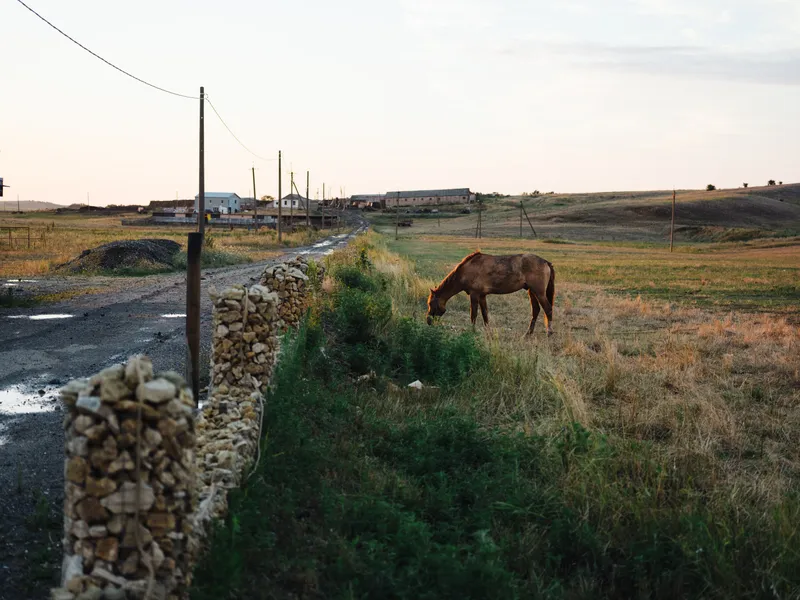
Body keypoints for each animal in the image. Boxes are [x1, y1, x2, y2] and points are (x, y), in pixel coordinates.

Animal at [426, 250, 555, 336]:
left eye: (430, 303)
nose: (428, 321)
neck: (465, 271)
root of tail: (546, 262)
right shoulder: (482, 296)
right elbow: (485, 314)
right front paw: (488, 331)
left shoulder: (474, 294)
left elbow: (473, 314)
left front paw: (472, 331)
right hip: (531, 291)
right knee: (536, 310)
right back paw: (528, 334)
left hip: (539, 293)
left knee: (548, 309)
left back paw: (549, 333)